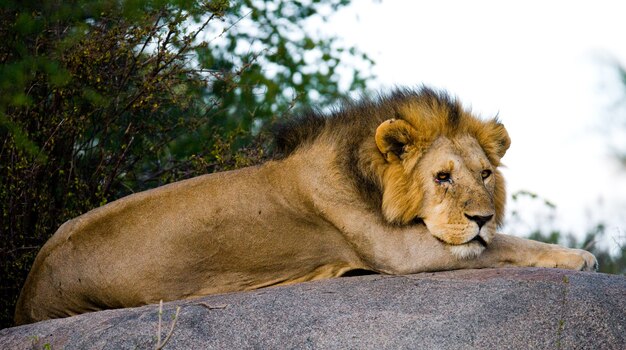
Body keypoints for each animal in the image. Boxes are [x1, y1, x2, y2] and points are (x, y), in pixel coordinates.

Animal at [14, 87, 596, 326]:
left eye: (485, 175)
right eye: (442, 177)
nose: (481, 216)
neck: (366, 176)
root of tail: (27, 293)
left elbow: (501, 241)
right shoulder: (400, 255)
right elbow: (505, 244)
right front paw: (582, 257)